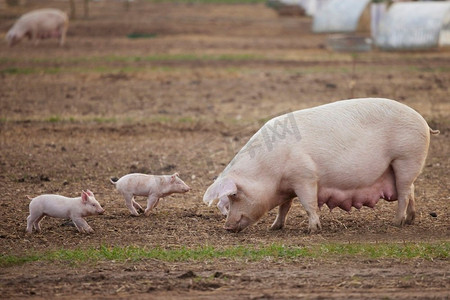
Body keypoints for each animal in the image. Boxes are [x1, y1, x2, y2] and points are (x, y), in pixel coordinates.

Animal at [203, 97, 440, 233]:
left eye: (234, 195)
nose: (227, 227)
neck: (269, 171)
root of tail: (424, 122)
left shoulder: (305, 176)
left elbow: (308, 203)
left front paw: (313, 230)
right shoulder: (288, 186)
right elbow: (285, 207)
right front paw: (274, 227)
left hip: (406, 158)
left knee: (404, 192)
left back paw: (397, 223)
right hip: (403, 166)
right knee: (411, 190)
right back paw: (410, 220)